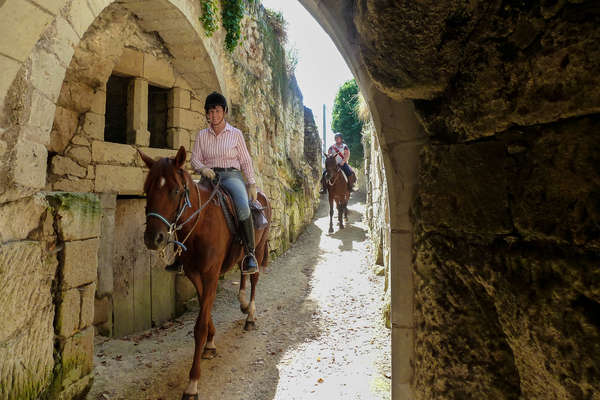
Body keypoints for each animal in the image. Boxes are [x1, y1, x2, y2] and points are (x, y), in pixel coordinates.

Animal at [138, 147, 272, 400]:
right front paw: (210, 343)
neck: (200, 225)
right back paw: (242, 303)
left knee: (255, 277)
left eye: (175, 190)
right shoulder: (195, 275)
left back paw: (250, 315)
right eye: (146, 189)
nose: (153, 238)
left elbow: (199, 325)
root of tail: (259, 193)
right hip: (243, 254)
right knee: (243, 271)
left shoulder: (210, 275)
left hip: (259, 249)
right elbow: (205, 308)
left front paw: (192, 383)